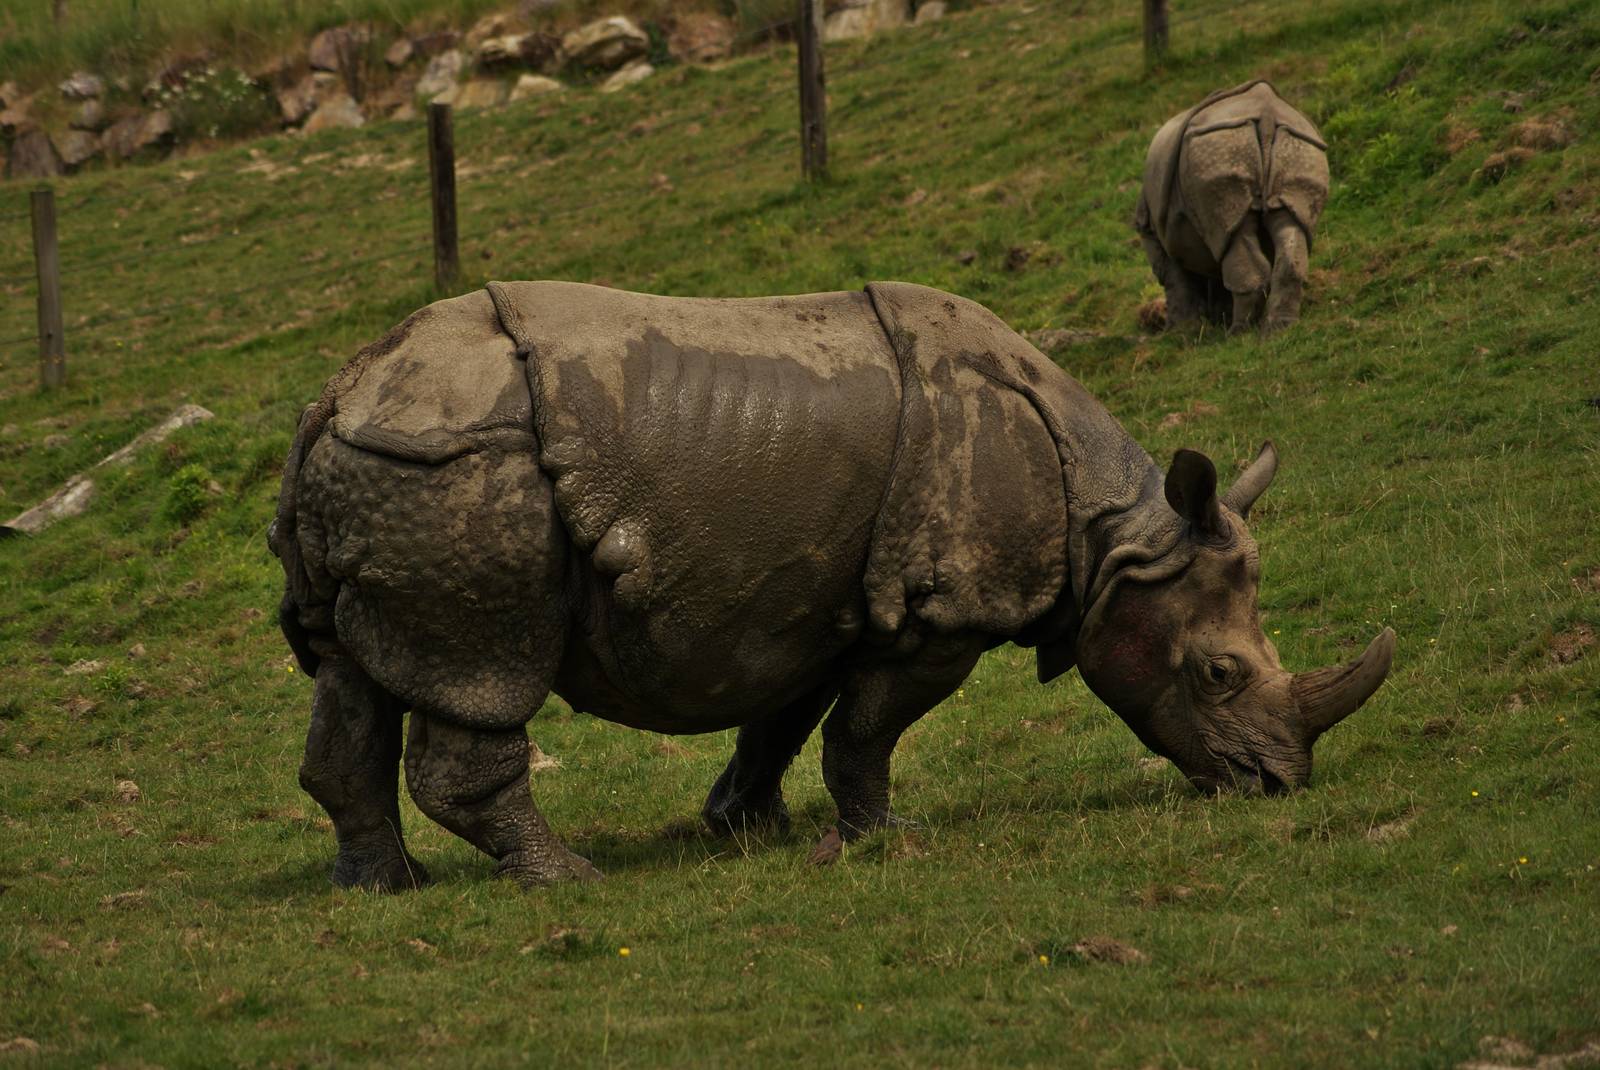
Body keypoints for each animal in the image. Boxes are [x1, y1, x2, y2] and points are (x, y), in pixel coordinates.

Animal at [269, 279, 1394, 889]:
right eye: (1217, 673)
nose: (1273, 784)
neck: (1117, 539)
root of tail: (340, 391)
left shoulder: (810, 598)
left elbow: (783, 716)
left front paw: (746, 826)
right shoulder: (940, 610)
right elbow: (866, 729)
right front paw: (886, 838)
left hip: (386, 469)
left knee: (350, 674)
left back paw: (386, 888)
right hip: (460, 469)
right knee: (484, 671)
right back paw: (564, 877)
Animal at [1134, 81, 1329, 332]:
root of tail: (1268, 115)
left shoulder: (1155, 235)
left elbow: (1173, 279)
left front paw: (1180, 333)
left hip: (1220, 146)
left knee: (1233, 235)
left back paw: (1239, 332)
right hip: (1301, 149)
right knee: (1285, 225)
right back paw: (1278, 328)